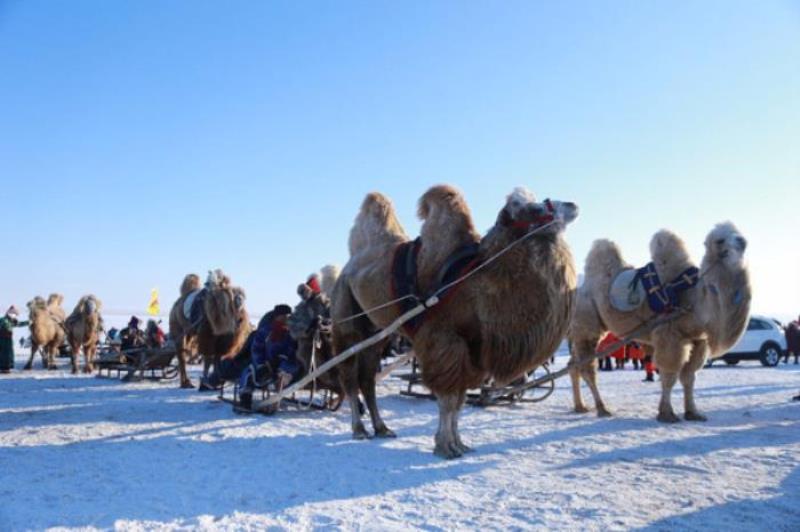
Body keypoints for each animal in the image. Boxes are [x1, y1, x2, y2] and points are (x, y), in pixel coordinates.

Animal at [328, 184, 580, 458]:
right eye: (526, 206)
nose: (572, 205)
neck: (477, 281)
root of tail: (347, 268)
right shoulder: (444, 340)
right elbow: (448, 399)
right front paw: (445, 446)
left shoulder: (472, 348)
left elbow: (459, 400)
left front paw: (459, 443)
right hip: (346, 320)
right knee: (349, 375)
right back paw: (359, 429)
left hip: (378, 334)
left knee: (367, 378)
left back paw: (382, 428)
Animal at [568, 222, 752, 422]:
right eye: (720, 241)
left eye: (738, 233)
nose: (742, 241)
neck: (694, 299)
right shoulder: (669, 334)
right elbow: (670, 375)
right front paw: (667, 413)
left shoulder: (698, 340)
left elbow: (689, 376)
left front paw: (692, 412)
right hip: (586, 325)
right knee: (586, 368)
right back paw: (602, 408)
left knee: (573, 365)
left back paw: (580, 406)